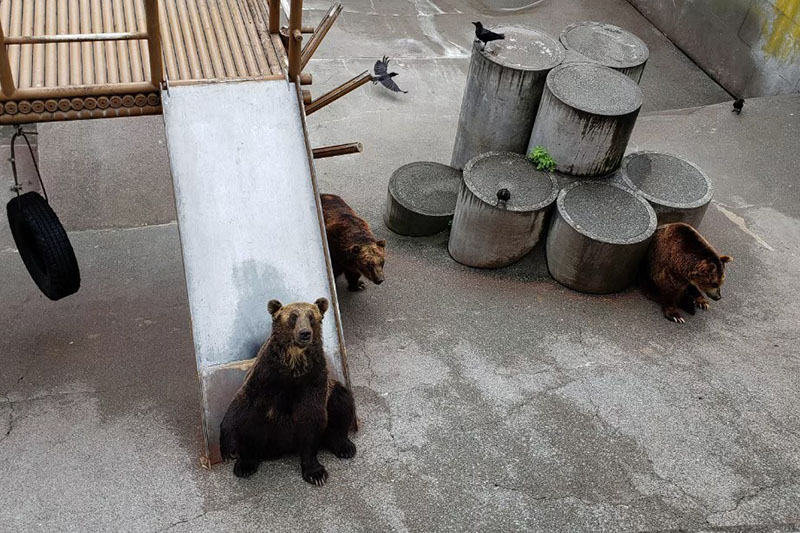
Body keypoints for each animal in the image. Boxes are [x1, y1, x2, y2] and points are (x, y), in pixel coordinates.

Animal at [219, 297, 357, 485]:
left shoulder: (313, 379)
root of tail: (283, 447)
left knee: (341, 402)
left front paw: (316, 473)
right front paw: (228, 449)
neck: (293, 363)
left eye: (311, 316)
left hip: (331, 392)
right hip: (267, 429)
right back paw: (245, 464)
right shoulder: (266, 374)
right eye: (293, 316)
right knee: (251, 424)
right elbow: (242, 402)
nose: (305, 333)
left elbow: (311, 416)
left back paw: (345, 446)